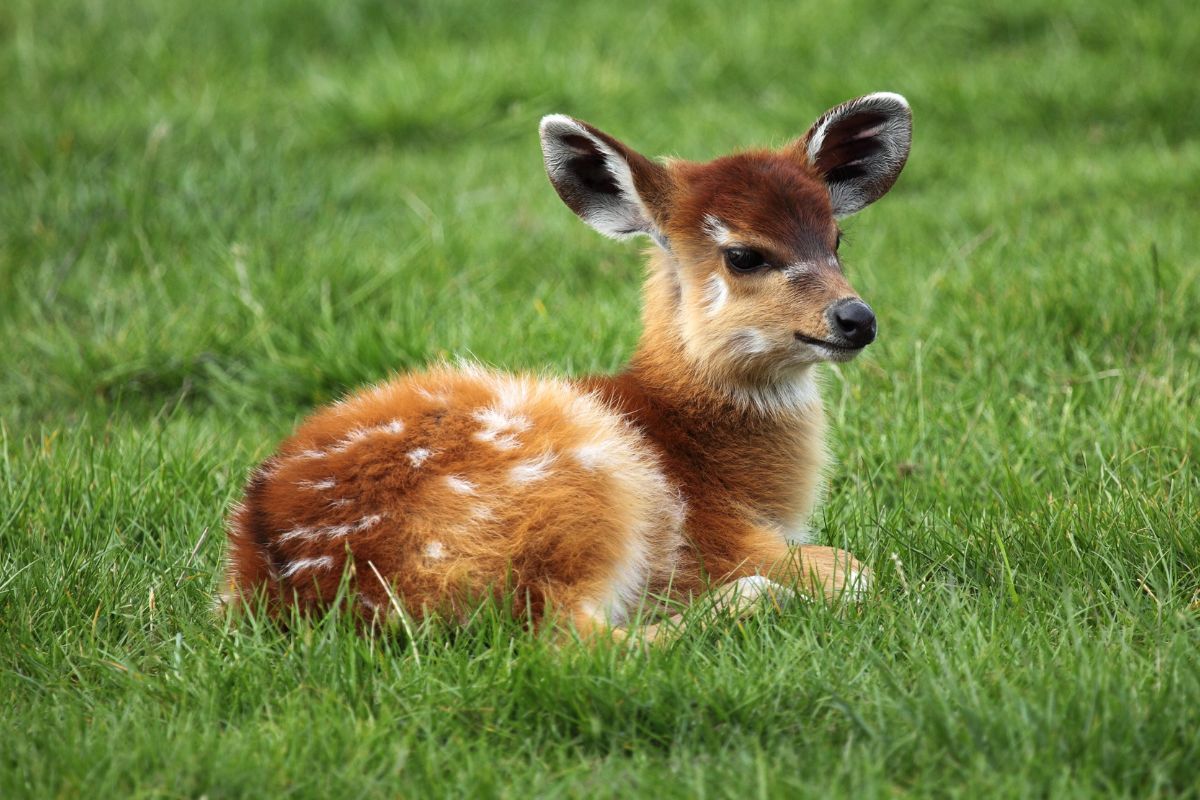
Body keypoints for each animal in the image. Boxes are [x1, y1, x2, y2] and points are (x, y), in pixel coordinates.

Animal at [220, 92, 912, 643]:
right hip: (585, 491)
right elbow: (857, 570)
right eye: (743, 255)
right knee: (571, 638)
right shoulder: (720, 538)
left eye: (837, 240)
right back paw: (751, 601)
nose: (856, 318)